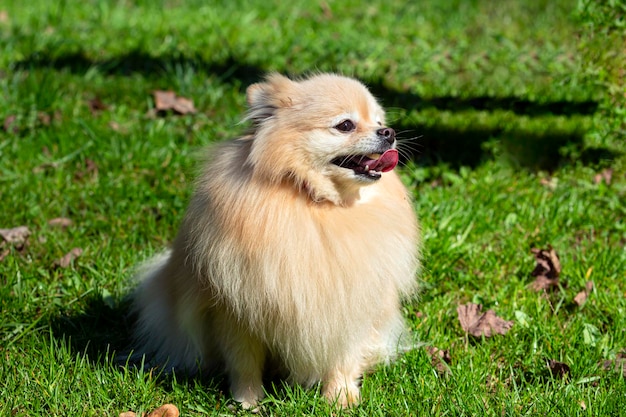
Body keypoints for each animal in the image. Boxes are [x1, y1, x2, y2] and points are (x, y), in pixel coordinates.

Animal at [134, 73, 422, 408]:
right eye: (345, 125)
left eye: (379, 121)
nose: (388, 133)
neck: (318, 203)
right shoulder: (237, 309)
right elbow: (244, 360)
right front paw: (246, 401)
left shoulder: (351, 303)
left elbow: (344, 355)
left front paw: (341, 398)